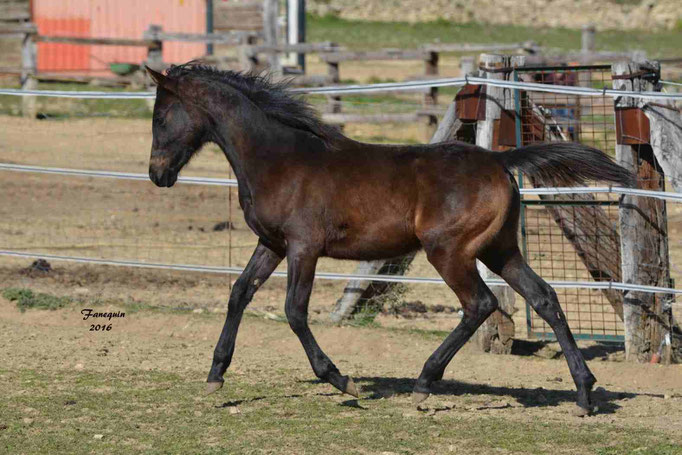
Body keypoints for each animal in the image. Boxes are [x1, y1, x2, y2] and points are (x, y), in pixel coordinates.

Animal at [145, 64, 632, 416]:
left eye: (161, 116)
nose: (157, 174)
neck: (279, 159)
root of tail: (500, 160)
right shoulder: (272, 244)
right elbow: (239, 293)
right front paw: (216, 375)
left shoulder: (303, 246)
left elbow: (295, 311)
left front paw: (342, 380)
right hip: (501, 250)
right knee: (544, 297)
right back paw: (584, 394)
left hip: (450, 251)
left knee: (480, 304)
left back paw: (423, 384)